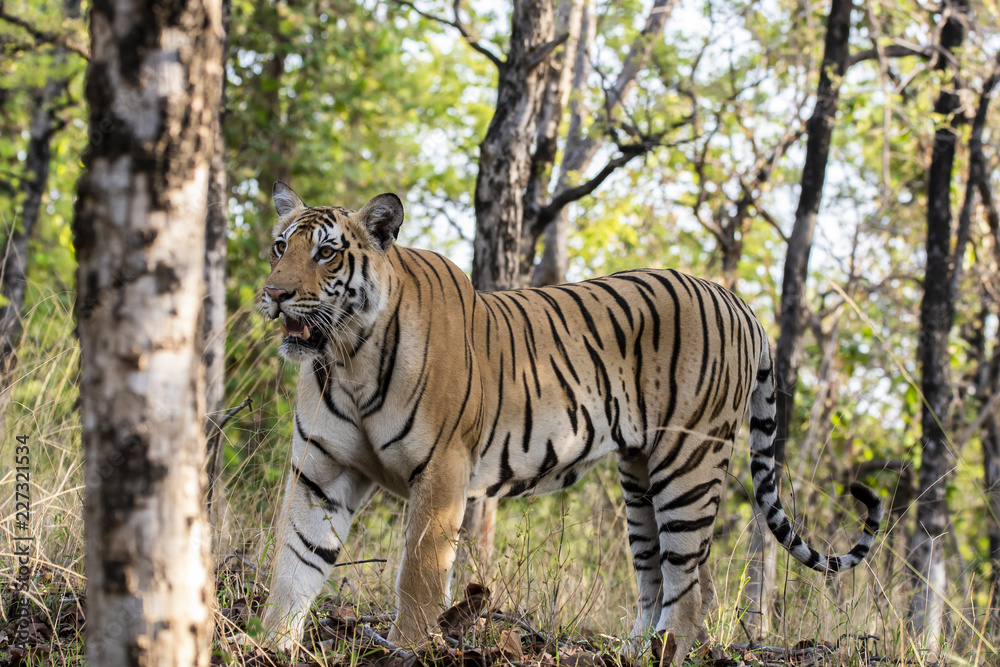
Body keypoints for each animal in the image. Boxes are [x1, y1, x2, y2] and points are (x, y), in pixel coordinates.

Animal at [257, 181, 883, 663]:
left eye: (326, 254)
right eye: (280, 247)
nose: (274, 293)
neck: (346, 357)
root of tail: (739, 302)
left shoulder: (439, 474)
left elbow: (419, 577)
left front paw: (405, 649)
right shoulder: (321, 471)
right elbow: (294, 563)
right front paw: (269, 645)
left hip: (688, 465)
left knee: (688, 589)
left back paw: (663, 656)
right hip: (640, 479)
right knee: (667, 579)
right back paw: (632, 653)